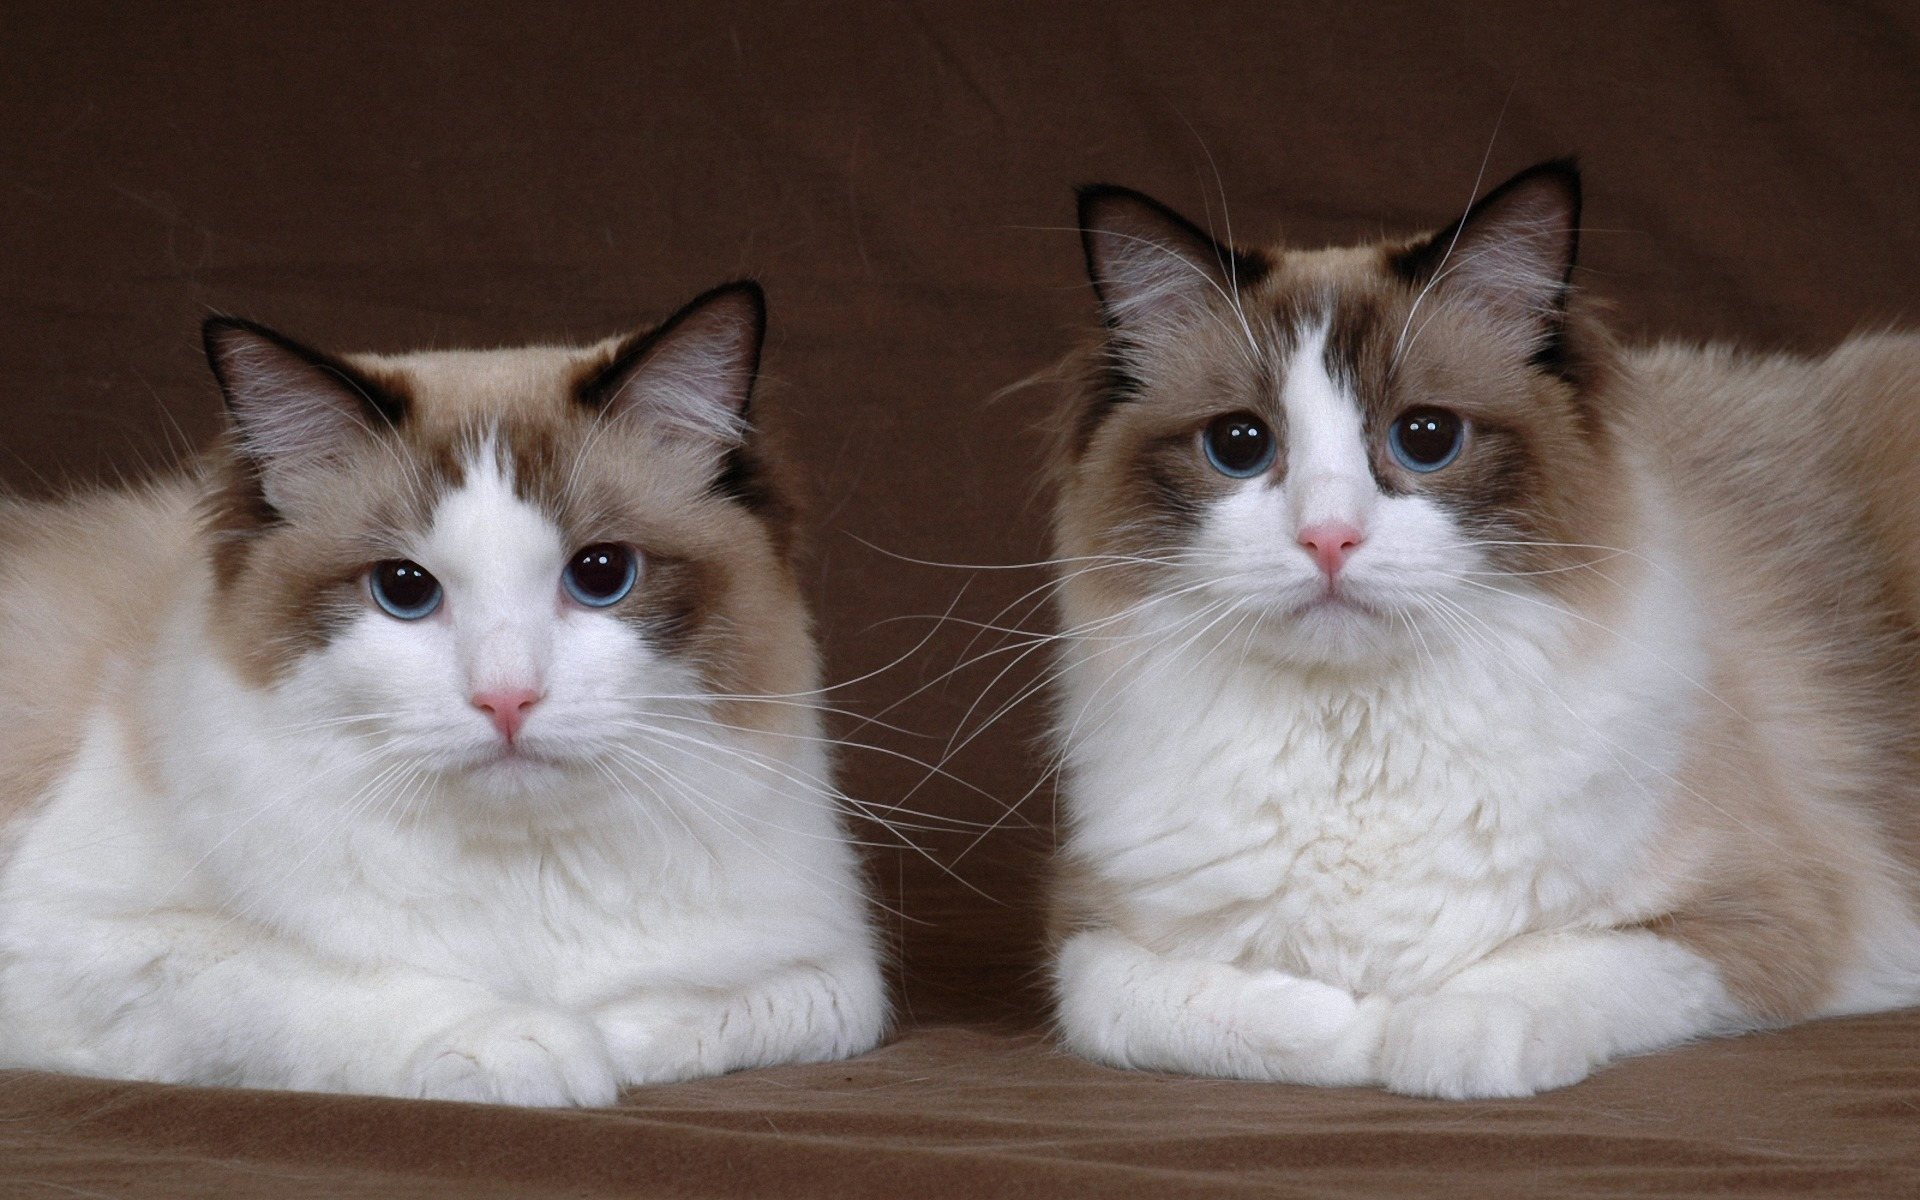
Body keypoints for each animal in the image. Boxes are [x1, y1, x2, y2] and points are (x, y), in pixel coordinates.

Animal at [0, 280, 887, 1105]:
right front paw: (536, 1045)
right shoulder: (86, 944)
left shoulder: (834, 976)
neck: (527, 870)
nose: (507, 699)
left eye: (601, 575)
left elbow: (749, 1006)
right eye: (404, 589)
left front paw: (609, 1038)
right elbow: (310, 980)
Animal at [1044, 159, 1920, 1098]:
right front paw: (1348, 1027)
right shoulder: (1090, 924)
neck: (1356, 738)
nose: (1329, 538)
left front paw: (1418, 1036)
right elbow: (1132, 1001)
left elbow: (1535, 971)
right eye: (1240, 445)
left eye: (1426, 437)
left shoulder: (1760, 918)